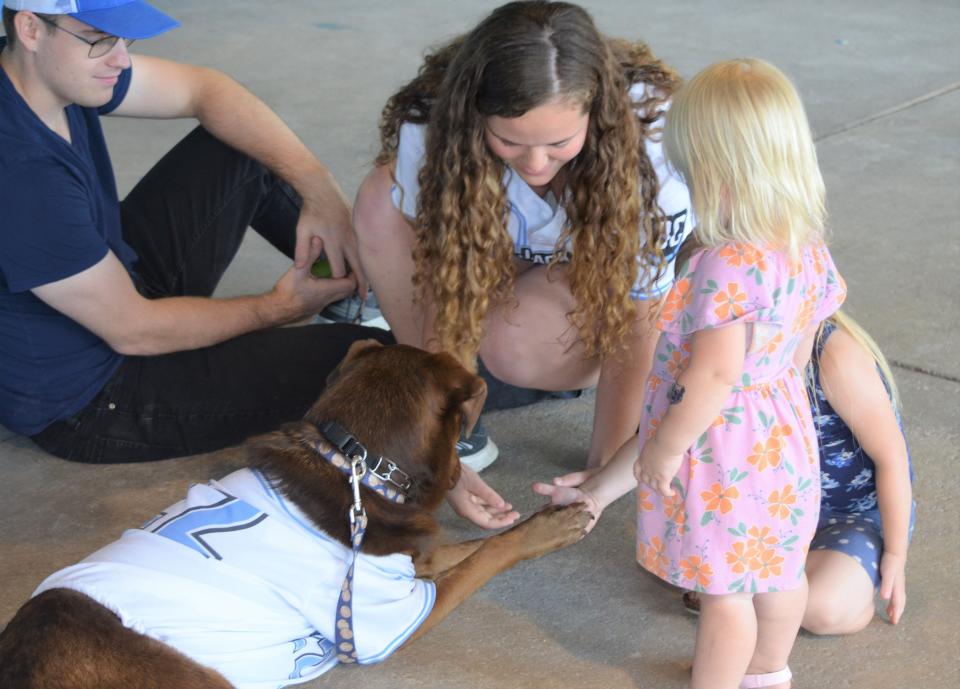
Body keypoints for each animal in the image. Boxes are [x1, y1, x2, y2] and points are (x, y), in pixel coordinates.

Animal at [0, 342, 588, 684]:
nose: (464, 471)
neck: (355, 464)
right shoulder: (391, 613)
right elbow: (486, 555)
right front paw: (552, 525)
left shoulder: (404, 559)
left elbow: (466, 547)